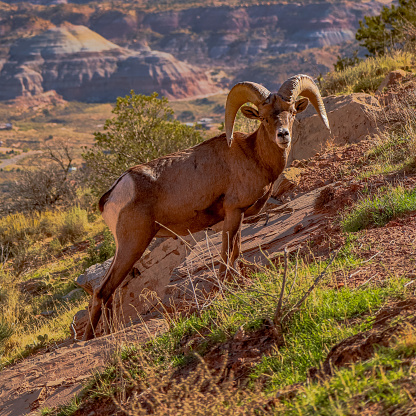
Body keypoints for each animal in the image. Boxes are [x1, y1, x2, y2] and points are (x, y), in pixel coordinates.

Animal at [83, 74, 330, 342]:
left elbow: (235, 252)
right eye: (264, 118)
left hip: (126, 247)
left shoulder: (239, 217)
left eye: (292, 113)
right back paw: (90, 340)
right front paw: (228, 288)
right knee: (102, 291)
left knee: (106, 293)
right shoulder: (233, 213)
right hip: (133, 244)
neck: (254, 156)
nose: (283, 135)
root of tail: (113, 193)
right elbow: (227, 254)